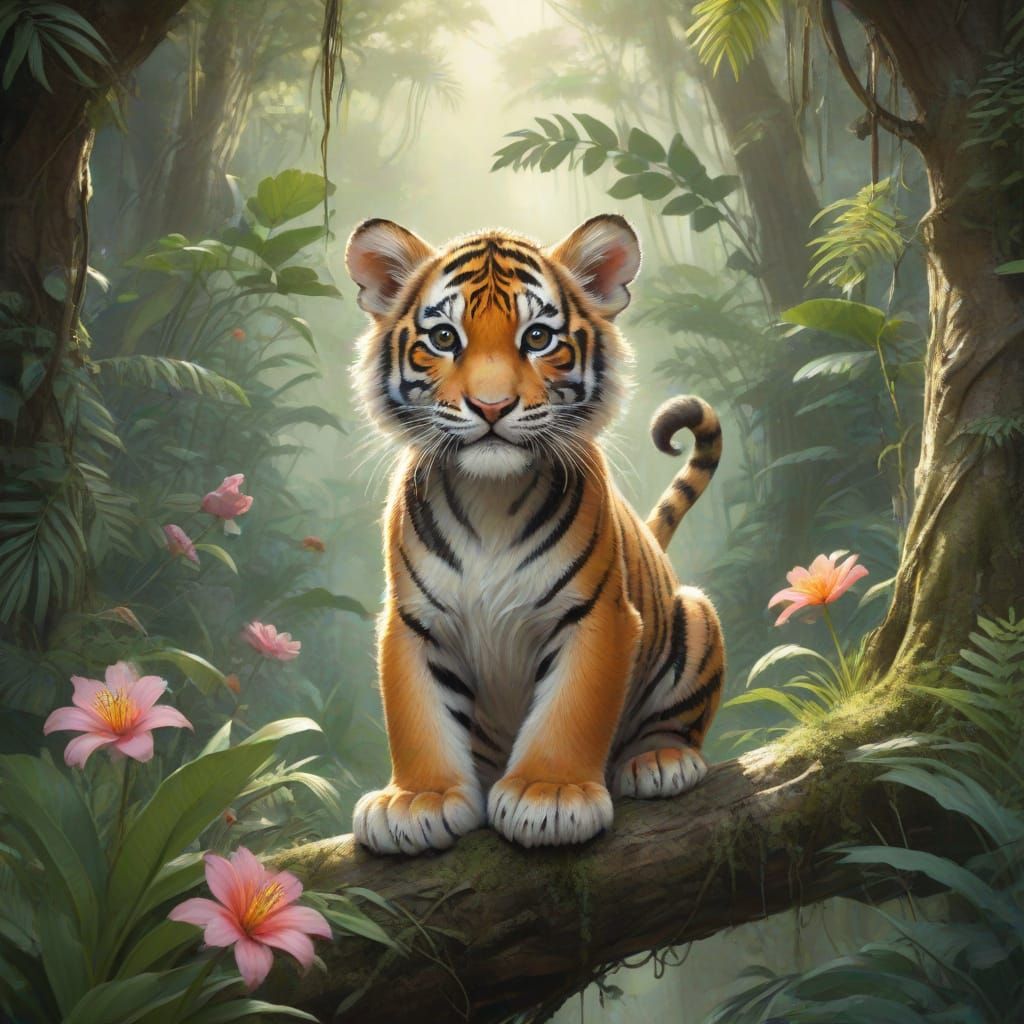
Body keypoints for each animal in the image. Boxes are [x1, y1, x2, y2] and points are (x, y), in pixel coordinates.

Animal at [345, 214, 725, 854]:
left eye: (539, 338)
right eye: (444, 338)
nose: (492, 406)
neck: (490, 497)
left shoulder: (594, 613)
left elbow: (570, 710)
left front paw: (550, 794)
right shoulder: (414, 620)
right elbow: (418, 715)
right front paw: (418, 800)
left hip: (696, 615)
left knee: (673, 721)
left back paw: (660, 761)